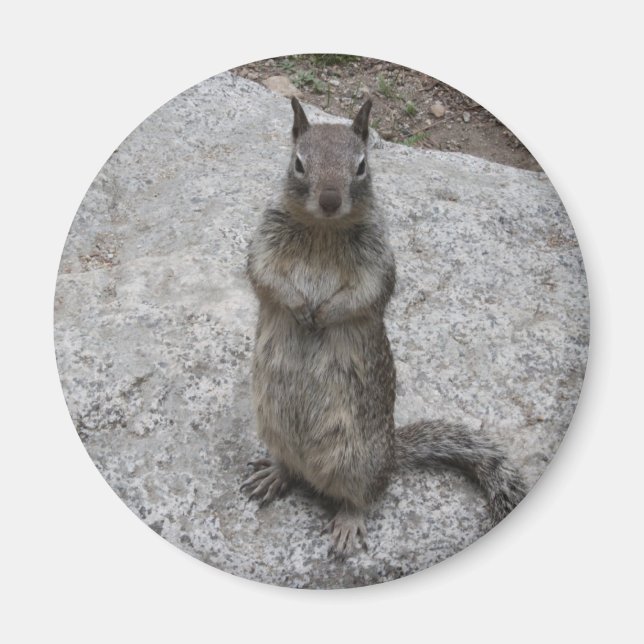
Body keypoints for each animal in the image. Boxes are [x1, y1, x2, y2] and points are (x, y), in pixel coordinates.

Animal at [242, 96, 526, 557]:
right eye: (299, 163)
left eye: (361, 165)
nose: (329, 199)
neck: (323, 228)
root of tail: (392, 454)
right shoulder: (263, 243)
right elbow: (264, 277)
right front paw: (300, 307)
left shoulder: (378, 261)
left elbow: (366, 294)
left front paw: (324, 314)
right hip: (273, 428)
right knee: (292, 468)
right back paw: (275, 475)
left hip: (355, 457)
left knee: (362, 496)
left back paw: (347, 522)